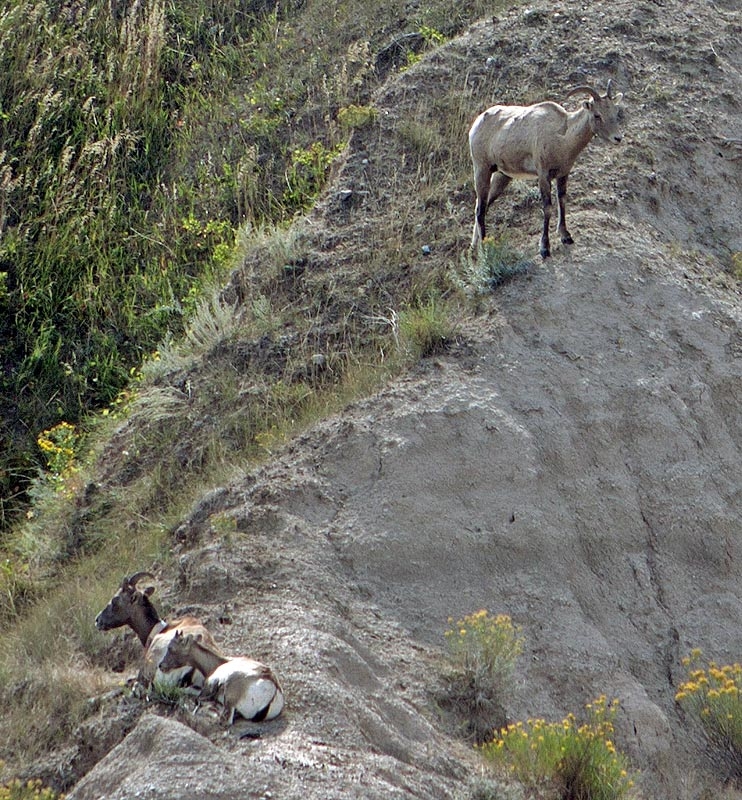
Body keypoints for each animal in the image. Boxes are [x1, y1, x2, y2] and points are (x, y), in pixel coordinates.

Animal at [470, 81, 628, 258]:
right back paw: (483, 249)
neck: (562, 138)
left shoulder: (563, 174)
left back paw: (473, 249)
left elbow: (562, 201)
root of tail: (477, 124)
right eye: (597, 115)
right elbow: (547, 208)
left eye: (615, 111)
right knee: (480, 210)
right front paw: (545, 248)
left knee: (482, 206)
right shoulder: (543, 176)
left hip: (502, 176)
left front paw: (566, 237)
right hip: (482, 169)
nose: (617, 138)